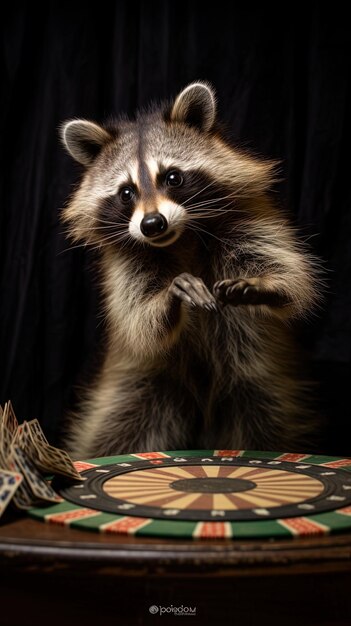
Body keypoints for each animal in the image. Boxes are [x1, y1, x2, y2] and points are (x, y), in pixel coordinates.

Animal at [61, 80, 322, 456]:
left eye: (173, 177)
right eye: (126, 193)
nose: (152, 224)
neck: (179, 239)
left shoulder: (251, 223)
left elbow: (290, 276)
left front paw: (266, 285)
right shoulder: (126, 267)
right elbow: (140, 320)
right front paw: (170, 295)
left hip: (261, 389)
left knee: (266, 427)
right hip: (140, 390)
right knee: (114, 431)